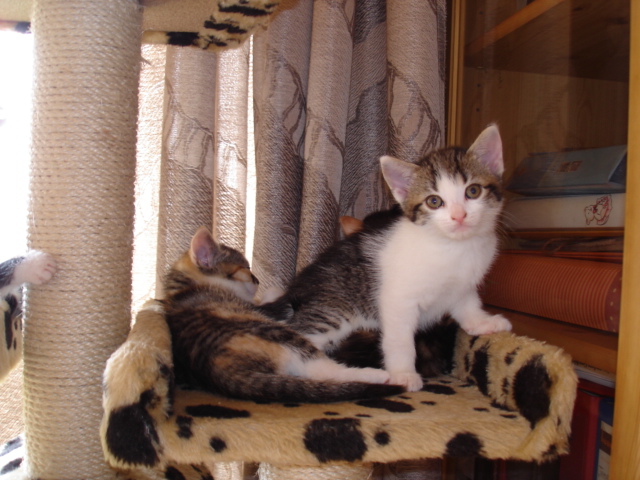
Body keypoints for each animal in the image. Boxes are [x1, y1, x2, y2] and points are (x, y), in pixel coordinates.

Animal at [161, 227, 404, 403]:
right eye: (245, 269)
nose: (258, 280)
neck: (183, 288)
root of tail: (221, 370)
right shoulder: (262, 310)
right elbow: (278, 302)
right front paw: (275, 290)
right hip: (278, 332)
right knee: (320, 369)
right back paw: (377, 376)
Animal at [268, 124, 512, 392]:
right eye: (434, 201)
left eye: (473, 191)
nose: (459, 216)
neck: (455, 248)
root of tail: (292, 291)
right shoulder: (397, 299)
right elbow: (400, 339)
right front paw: (403, 373)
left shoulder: (462, 284)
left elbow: (467, 303)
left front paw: (482, 322)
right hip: (333, 311)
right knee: (301, 352)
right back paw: (366, 376)